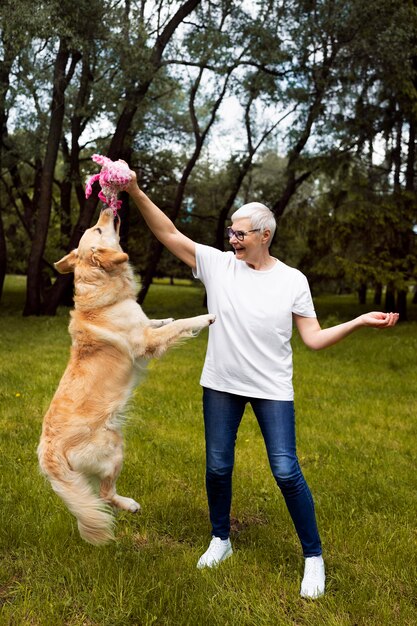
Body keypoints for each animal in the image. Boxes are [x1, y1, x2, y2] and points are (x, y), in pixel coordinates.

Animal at [37, 208, 214, 540]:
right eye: (98, 228)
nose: (108, 209)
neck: (104, 293)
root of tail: (48, 453)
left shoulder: (144, 327)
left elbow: (158, 322)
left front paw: (164, 317)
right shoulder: (146, 342)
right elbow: (180, 325)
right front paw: (205, 317)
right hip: (114, 446)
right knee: (104, 494)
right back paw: (130, 505)